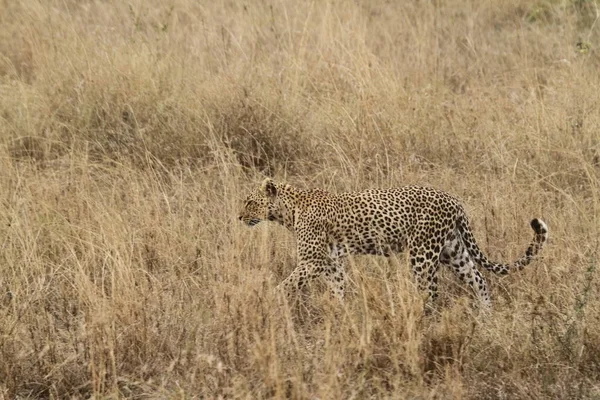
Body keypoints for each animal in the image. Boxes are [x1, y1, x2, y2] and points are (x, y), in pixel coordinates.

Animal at [239, 178, 548, 306]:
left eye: (250, 202)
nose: (239, 216)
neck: (289, 211)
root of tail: (454, 200)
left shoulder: (312, 261)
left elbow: (287, 283)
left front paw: (269, 299)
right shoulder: (330, 262)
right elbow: (339, 288)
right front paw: (341, 315)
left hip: (423, 253)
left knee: (430, 292)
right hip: (453, 251)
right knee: (479, 279)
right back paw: (487, 317)